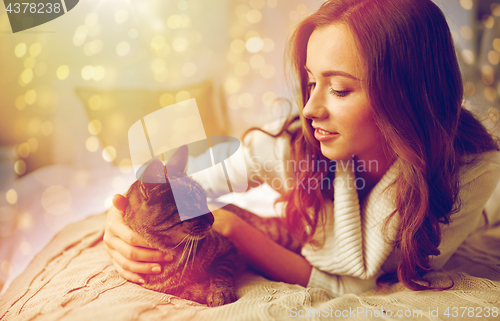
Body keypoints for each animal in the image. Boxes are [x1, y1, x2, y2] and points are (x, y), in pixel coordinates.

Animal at [124, 144, 300, 304]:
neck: (175, 251)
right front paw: (200, 290)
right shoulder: (163, 288)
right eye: (192, 206)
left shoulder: (228, 250)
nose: (212, 219)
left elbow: (221, 273)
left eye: (205, 199)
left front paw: (219, 293)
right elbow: (185, 291)